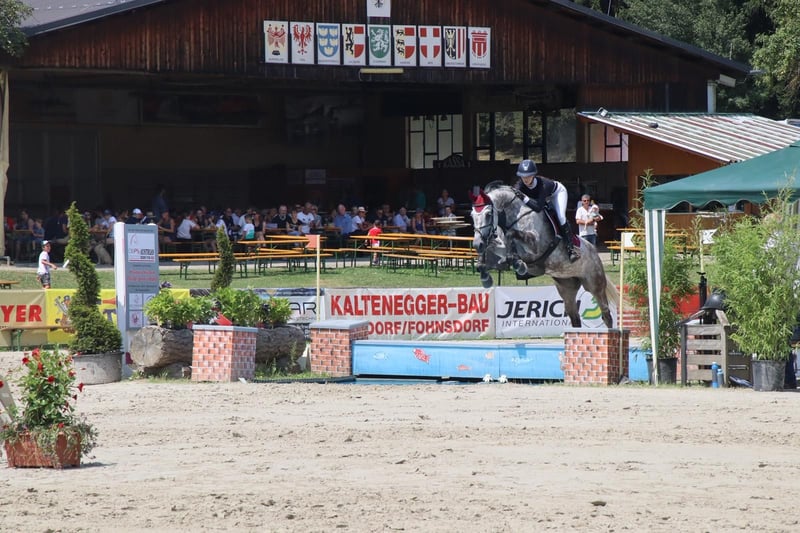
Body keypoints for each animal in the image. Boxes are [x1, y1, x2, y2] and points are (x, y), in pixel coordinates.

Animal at [471, 183, 619, 329]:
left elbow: (511, 235)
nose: (477, 244)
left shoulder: (535, 245)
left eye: (488, 214)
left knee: (606, 315)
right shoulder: (500, 249)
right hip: (566, 287)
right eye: (472, 215)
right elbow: (490, 253)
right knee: (575, 318)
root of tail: (593, 250)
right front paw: (485, 277)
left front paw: (519, 265)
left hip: (595, 285)